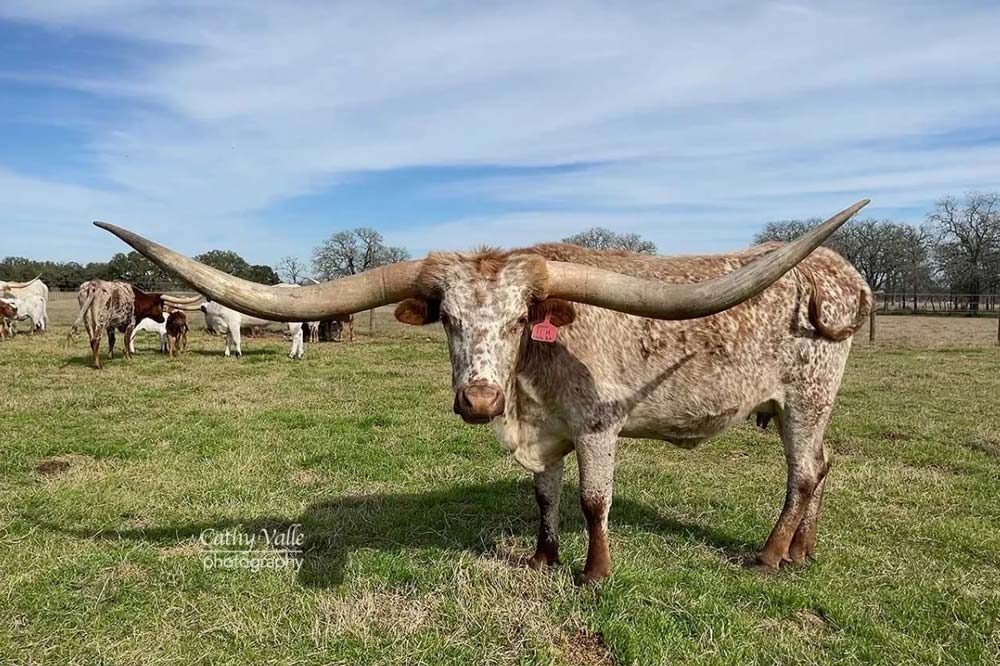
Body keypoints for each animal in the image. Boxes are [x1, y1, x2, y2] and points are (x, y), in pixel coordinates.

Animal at [95, 201, 876, 580]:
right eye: (448, 320)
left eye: (520, 320)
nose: (477, 401)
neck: (531, 388)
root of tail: (843, 273)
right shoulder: (547, 433)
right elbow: (544, 497)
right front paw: (542, 559)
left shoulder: (597, 427)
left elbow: (594, 501)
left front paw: (593, 574)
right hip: (800, 405)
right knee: (822, 467)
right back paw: (802, 553)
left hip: (807, 398)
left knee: (803, 472)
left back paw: (771, 557)